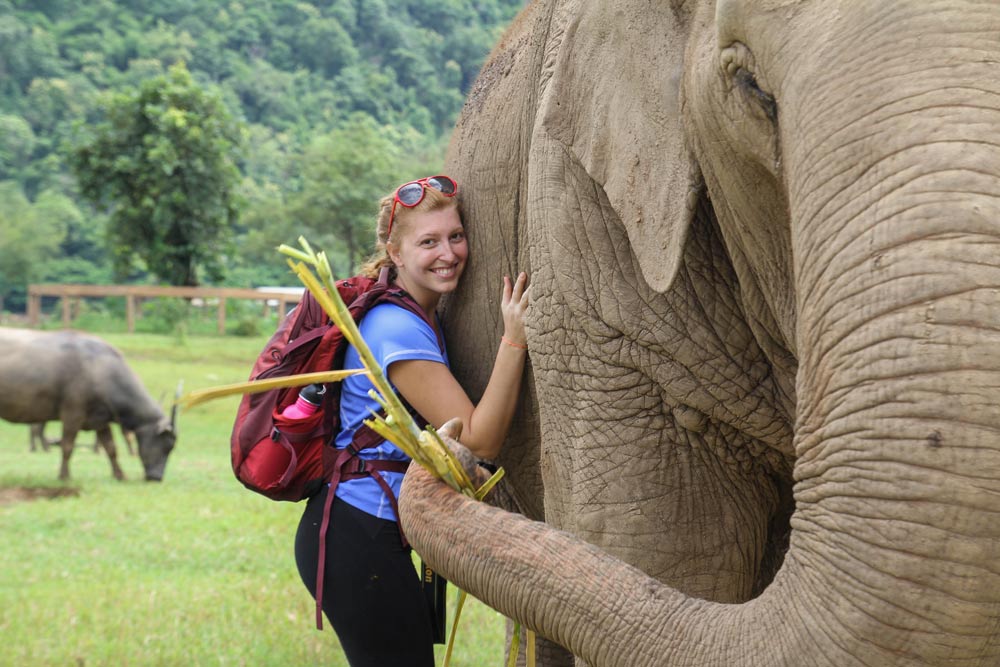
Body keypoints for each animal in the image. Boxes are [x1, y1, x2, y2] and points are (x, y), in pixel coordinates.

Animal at [0, 328, 176, 480]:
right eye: (168, 445)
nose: (157, 477)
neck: (100, 370)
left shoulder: (101, 419)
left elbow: (111, 448)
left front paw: (120, 475)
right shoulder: (72, 414)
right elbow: (67, 446)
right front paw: (64, 476)